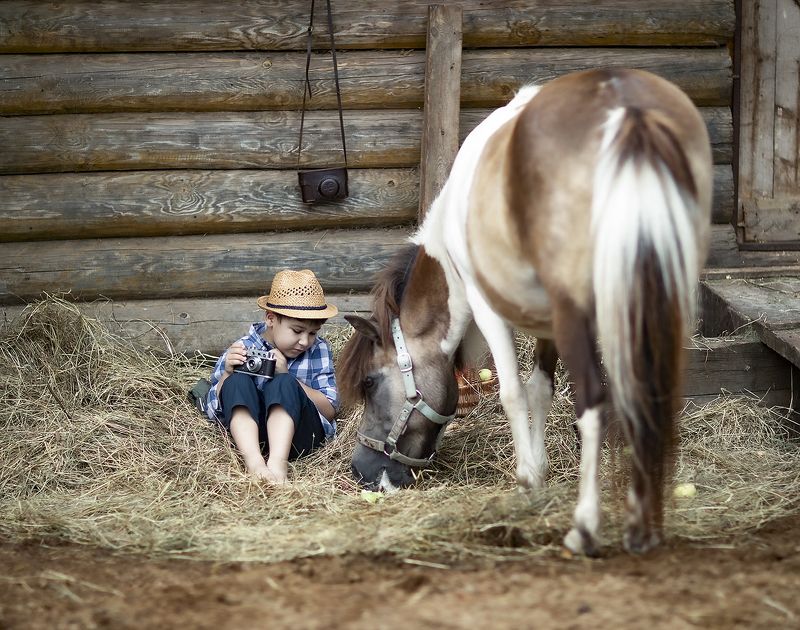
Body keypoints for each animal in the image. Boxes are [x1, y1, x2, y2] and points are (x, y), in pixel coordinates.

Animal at [337, 68, 713, 555]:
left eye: (369, 382)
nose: (361, 471)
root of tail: (623, 102)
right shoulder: (547, 322)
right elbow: (540, 391)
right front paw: (542, 470)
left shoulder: (490, 309)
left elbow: (513, 394)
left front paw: (528, 479)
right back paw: (641, 522)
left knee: (594, 400)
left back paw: (584, 528)